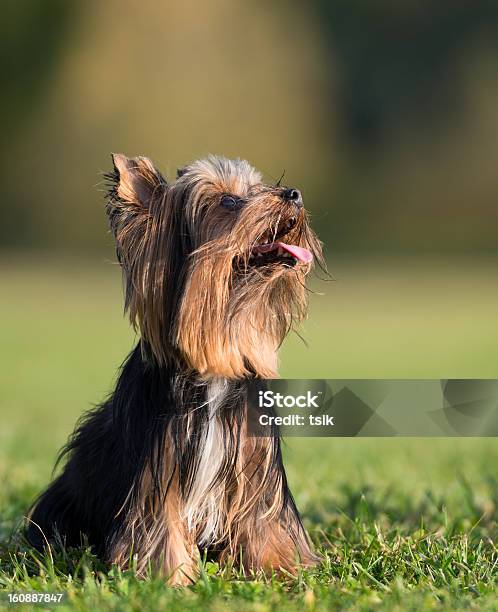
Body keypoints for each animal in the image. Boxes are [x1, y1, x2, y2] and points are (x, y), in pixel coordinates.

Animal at [26, 153, 322, 584]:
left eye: (258, 188)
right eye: (228, 201)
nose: (294, 194)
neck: (213, 362)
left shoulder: (254, 462)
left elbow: (263, 520)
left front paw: (280, 568)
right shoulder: (157, 468)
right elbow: (159, 524)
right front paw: (168, 578)